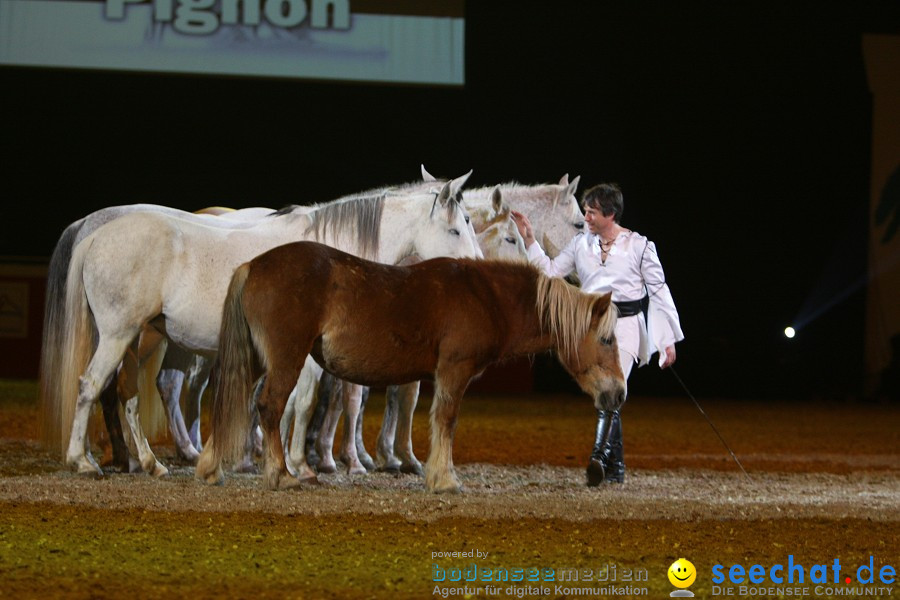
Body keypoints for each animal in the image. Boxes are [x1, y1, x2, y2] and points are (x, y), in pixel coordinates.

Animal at [43, 175, 482, 478]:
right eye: (457, 227)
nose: (478, 271)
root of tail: (96, 233)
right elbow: (300, 402)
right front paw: (298, 464)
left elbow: (288, 404)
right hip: (119, 336)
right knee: (91, 386)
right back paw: (83, 461)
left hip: (133, 339)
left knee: (126, 395)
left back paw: (147, 463)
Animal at [195, 243, 624, 492]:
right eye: (607, 339)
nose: (618, 392)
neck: (483, 295)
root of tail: (253, 265)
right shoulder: (454, 370)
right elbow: (446, 421)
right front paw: (444, 480)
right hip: (286, 358)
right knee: (268, 407)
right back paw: (283, 475)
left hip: (255, 359)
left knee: (232, 401)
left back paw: (211, 467)